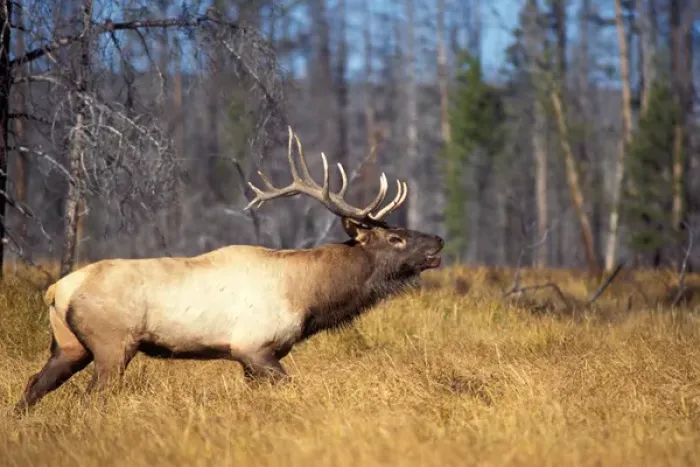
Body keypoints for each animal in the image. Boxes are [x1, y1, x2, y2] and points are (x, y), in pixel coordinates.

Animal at [14, 127, 444, 412]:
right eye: (396, 239)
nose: (438, 242)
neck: (309, 298)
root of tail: (56, 290)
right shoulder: (254, 347)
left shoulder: (252, 358)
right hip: (111, 344)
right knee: (92, 396)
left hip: (69, 344)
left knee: (33, 386)